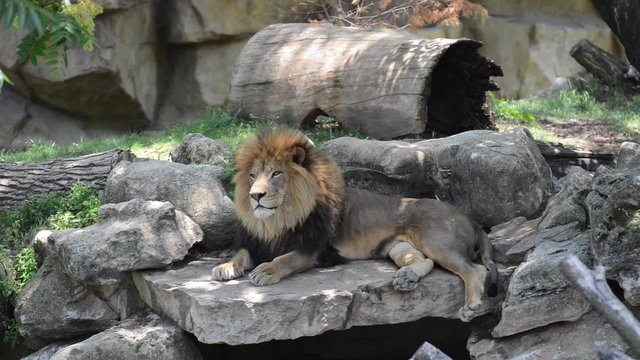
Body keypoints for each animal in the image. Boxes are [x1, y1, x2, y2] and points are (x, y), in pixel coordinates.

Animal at [212, 127, 498, 320]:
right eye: (252, 176)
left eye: (276, 173)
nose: (255, 196)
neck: (278, 219)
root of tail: (471, 219)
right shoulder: (256, 242)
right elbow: (240, 253)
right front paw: (224, 267)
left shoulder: (315, 249)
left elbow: (286, 259)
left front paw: (266, 271)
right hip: (398, 246)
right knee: (423, 260)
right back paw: (407, 276)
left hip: (436, 240)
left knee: (475, 270)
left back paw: (471, 305)